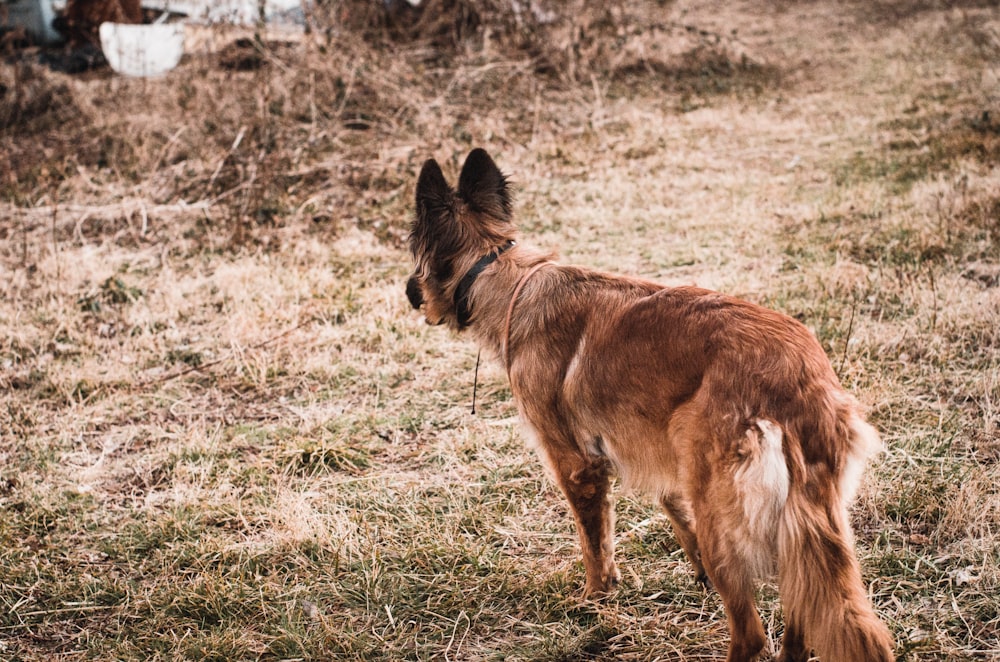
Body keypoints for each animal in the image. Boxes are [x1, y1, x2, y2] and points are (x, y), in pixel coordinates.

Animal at [406, 150, 900, 662]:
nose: (408, 292)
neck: (503, 274)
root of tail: (798, 378)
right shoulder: (654, 446)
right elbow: (671, 505)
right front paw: (691, 568)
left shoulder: (577, 465)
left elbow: (595, 545)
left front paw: (595, 599)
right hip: (792, 524)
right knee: (801, 616)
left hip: (723, 519)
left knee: (752, 633)